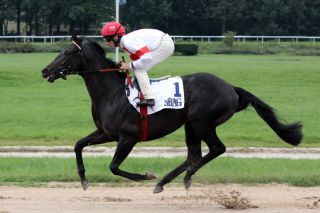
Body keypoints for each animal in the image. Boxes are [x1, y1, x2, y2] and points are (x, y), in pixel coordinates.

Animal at [42, 36, 302, 193]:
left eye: (67, 51)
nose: (45, 70)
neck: (113, 92)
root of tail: (230, 87)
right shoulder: (106, 133)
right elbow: (78, 145)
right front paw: (84, 180)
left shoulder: (128, 137)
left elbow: (114, 167)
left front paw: (145, 176)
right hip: (190, 125)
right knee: (193, 155)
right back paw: (165, 181)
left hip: (202, 122)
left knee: (216, 149)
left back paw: (183, 178)